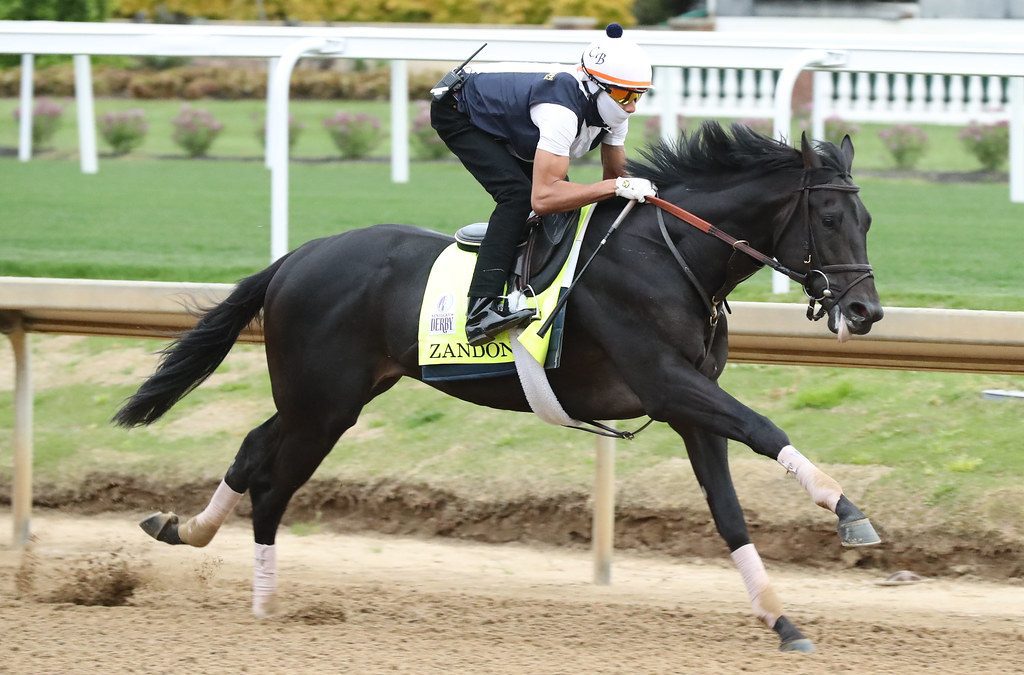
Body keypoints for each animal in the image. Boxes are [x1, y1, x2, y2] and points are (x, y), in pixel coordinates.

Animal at [115, 121, 884, 653]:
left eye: (869, 219)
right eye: (831, 218)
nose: (865, 312)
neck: (670, 257)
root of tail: (296, 256)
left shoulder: (690, 408)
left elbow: (729, 514)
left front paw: (783, 619)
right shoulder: (669, 385)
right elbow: (765, 428)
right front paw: (849, 512)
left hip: (326, 396)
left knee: (251, 451)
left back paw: (183, 527)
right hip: (323, 404)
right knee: (274, 482)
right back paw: (265, 602)